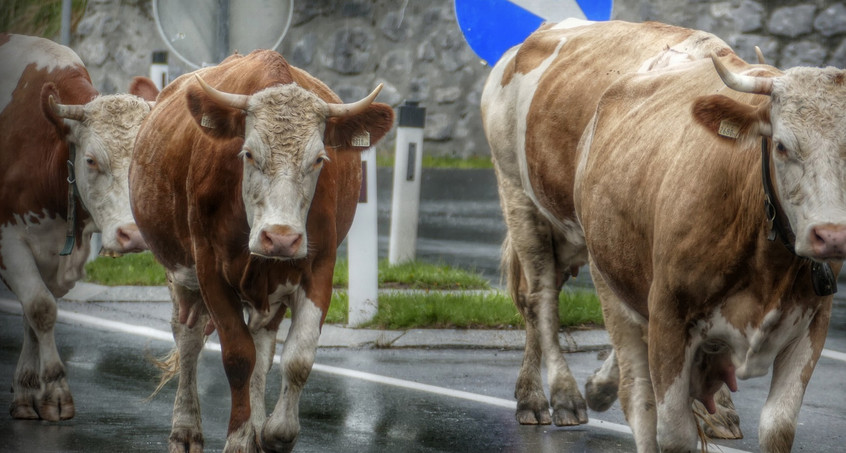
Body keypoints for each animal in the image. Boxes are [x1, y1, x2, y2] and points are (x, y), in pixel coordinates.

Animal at [0, 34, 157, 420]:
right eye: (90, 160)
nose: (133, 235)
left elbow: (32, 316)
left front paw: (28, 390)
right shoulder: (8, 242)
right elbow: (41, 309)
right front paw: (55, 390)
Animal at [131, 50, 396, 452]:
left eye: (319, 159)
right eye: (249, 154)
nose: (281, 238)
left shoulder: (319, 268)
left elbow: (296, 358)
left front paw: (275, 431)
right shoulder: (209, 270)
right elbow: (238, 357)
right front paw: (239, 439)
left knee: (262, 346)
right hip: (181, 274)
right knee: (188, 339)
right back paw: (186, 429)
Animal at [572, 32, 844, 452]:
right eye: (781, 145)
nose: (831, 235)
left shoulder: (814, 323)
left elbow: (778, 426)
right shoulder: (668, 318)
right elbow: (674, 433)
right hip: (611, 286)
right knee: (639, 400)